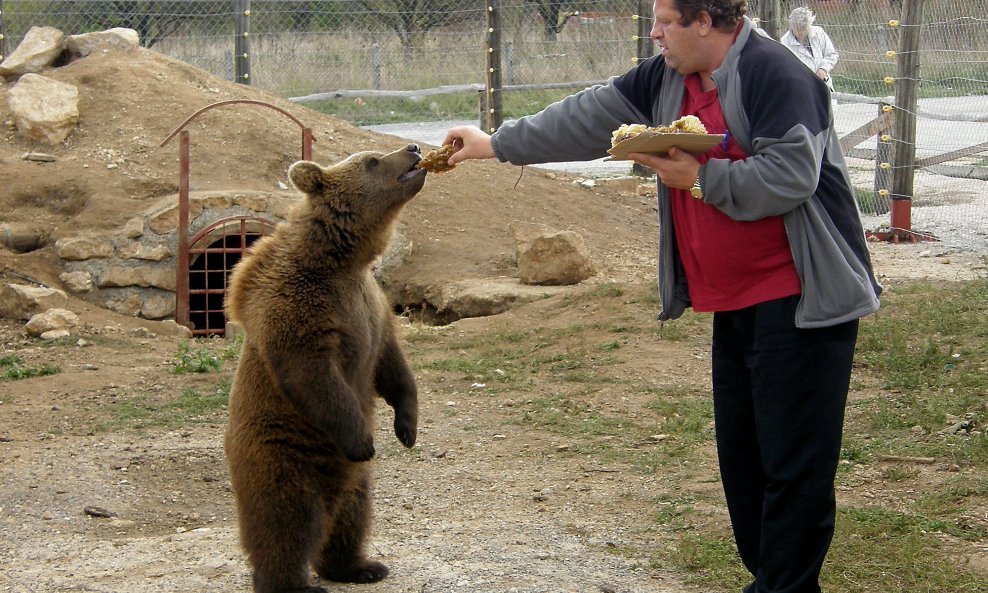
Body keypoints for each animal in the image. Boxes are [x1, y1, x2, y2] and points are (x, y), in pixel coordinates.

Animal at [226, 145, 430, 592]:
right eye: (372, 161)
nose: (413, 148)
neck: (340, 260)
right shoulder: (298, 305)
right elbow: (314, 373)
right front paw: (363, 440)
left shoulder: (371, 305)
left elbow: (392, 365)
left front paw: (407, 428)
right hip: (282, 453)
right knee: (287, 521)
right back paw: (292, 582)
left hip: (355, 481)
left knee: (350, 517)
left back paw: (361, 566)